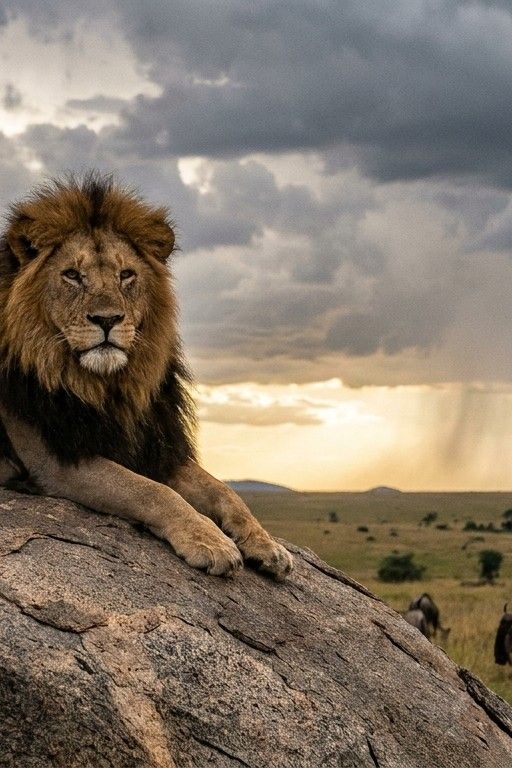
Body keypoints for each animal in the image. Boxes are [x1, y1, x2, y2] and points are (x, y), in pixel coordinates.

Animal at [0, 172, 293, 579]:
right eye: (72, 275)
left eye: (126, 275)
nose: (107, 319)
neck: (106, 387)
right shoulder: (54, 460)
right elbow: (151, 491)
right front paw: (211, 542)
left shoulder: (154, 447)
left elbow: (224, 490)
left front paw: (266, 544)